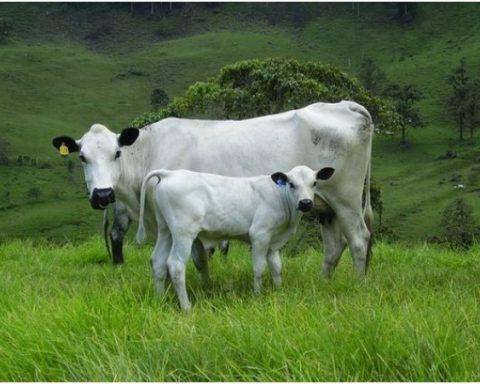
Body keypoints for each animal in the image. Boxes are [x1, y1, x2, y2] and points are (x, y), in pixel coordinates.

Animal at [52, 100, 376, 278]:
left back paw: (358, 284)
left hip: (346, 200)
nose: (103, 195)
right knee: (334, 248)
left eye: (117, 153)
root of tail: (343, 105)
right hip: (325, 207)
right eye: (82, 157)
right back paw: (324, 283)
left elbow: (197, 259)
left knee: (359, 241)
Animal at [136, 166, 338, 312]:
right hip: (183, 232)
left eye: (314, 183)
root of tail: (170, 173)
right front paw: (257, 295)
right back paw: (186, 307)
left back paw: (160, 299)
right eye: (291, 184)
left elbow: (276, 267)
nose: (305, 203)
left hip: (166, 231)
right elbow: (259, 268)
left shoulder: (273, 242)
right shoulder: (260, 234)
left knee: (158, 262)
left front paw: (278, 290)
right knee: (175, 265)